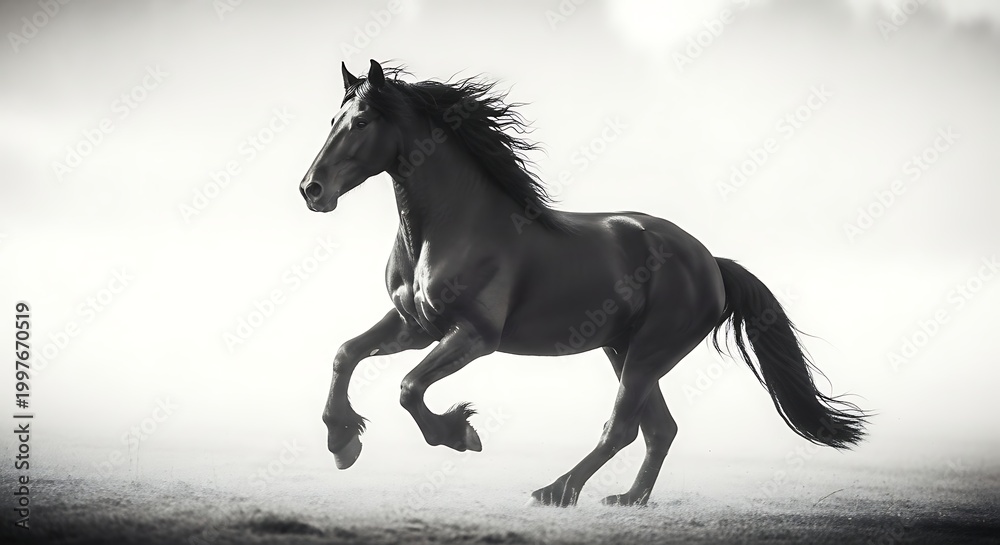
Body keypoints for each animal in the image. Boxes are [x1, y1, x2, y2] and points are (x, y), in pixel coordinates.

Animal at [299, 59, 867, 507]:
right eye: (331, 120)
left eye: (363, 121)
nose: (311, 189)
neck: (451, 227)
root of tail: (710, 261)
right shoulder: (415, 325)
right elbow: (346, 353)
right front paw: (342, 443)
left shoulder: (475, 335)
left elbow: (409, 388)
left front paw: (460, 432)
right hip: (624, 349)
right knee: (659, 429)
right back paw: (627, 499)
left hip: (648, 352)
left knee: (623, 428)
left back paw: (556, 491)